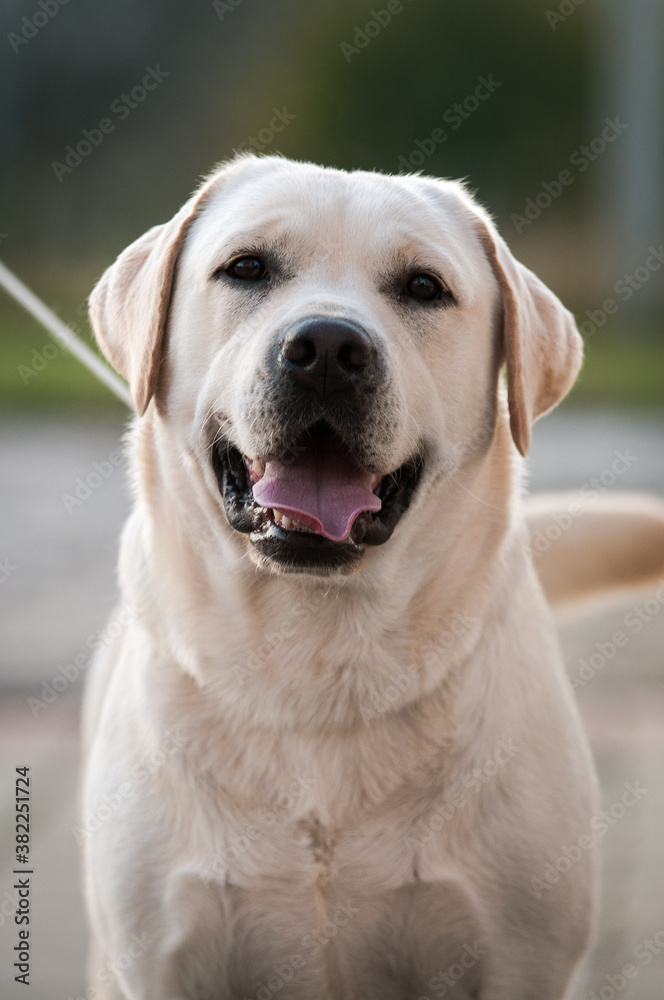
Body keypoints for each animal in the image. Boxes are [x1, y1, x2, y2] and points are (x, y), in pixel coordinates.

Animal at [81, 152, 644, 996]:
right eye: (247, 268)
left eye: (423, 287)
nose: (325, 347)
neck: (317, 659)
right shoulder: (159, 962)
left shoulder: (522, 956)